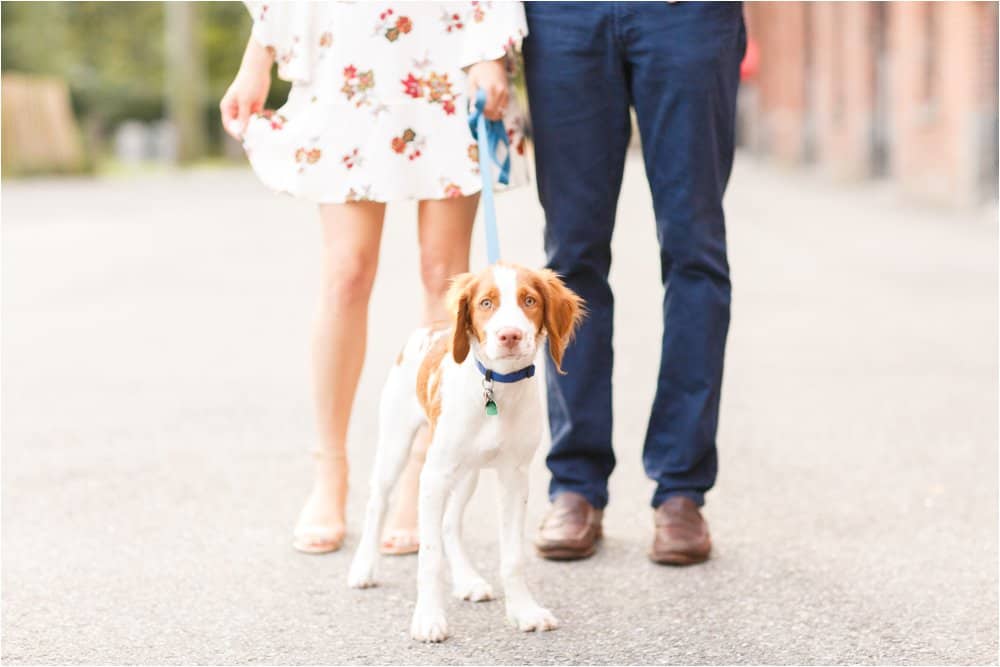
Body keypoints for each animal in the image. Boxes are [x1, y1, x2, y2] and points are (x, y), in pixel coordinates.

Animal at [350, 260, 584, 640]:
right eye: (486, 303)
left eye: (530, 301)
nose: (509, 336)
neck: (496, 388)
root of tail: (430, 327)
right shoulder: (433, 476)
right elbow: (429, 557)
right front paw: (429, 617)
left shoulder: (514, 477)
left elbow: (513, 557)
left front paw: (524, 611)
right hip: (396, 445)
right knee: (377, 504)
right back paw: (363, 568)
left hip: (467, 473)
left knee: (449, 523)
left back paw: (468, 580)